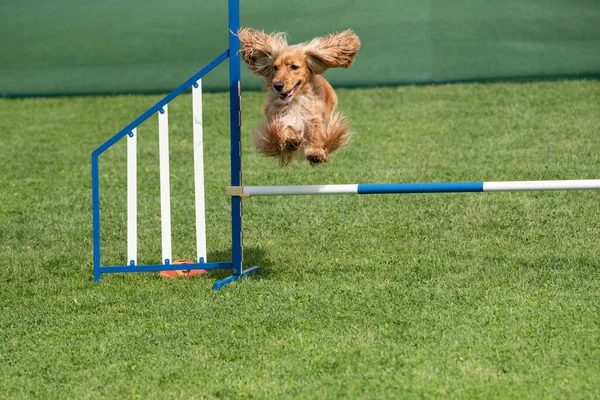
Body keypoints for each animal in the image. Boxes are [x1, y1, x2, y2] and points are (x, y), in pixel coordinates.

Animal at [238, 28, 360, 165]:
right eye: (275, 67)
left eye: (294, 67)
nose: (278, 85)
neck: (296, 101)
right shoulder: (279, 117)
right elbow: (283, 128)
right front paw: (290, 140)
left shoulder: (315, 116)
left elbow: (317, 133)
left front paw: (316, 152)